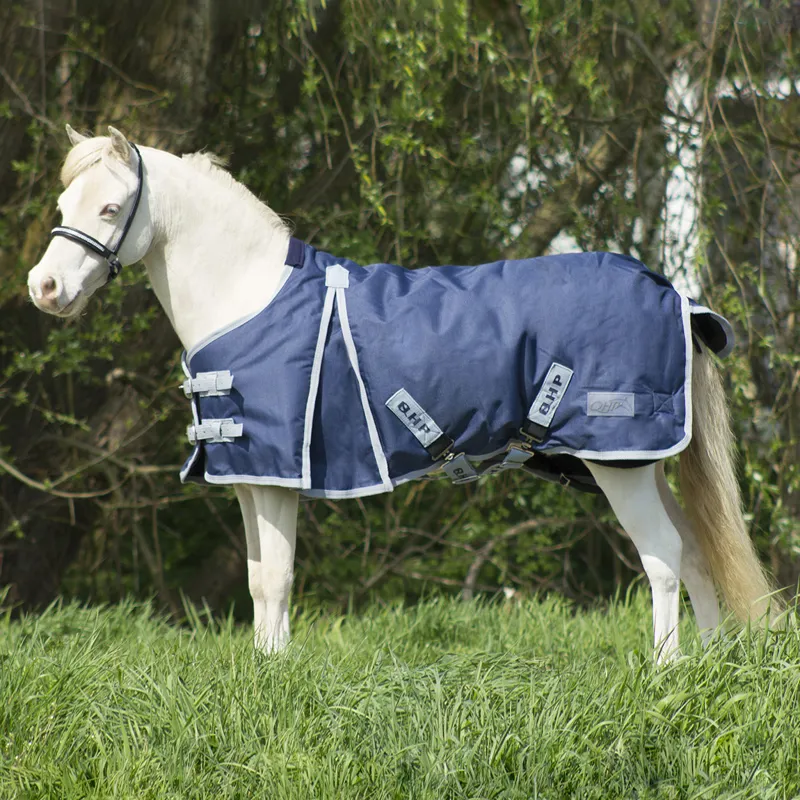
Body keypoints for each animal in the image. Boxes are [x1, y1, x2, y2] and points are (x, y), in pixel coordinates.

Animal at [26, 126, 777, 662]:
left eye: (111, 207)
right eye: (63, 205)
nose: (44, 289)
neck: (247, 295)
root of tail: (673, 293)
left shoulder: (276, 473)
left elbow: (276, 579)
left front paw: (275, 680)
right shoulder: (249, 473)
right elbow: (258, 580)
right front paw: (266, 672)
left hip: (616, 462)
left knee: (663, 557)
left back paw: (665, 672)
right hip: (635, 465)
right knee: (697, 548)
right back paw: (708, 665)